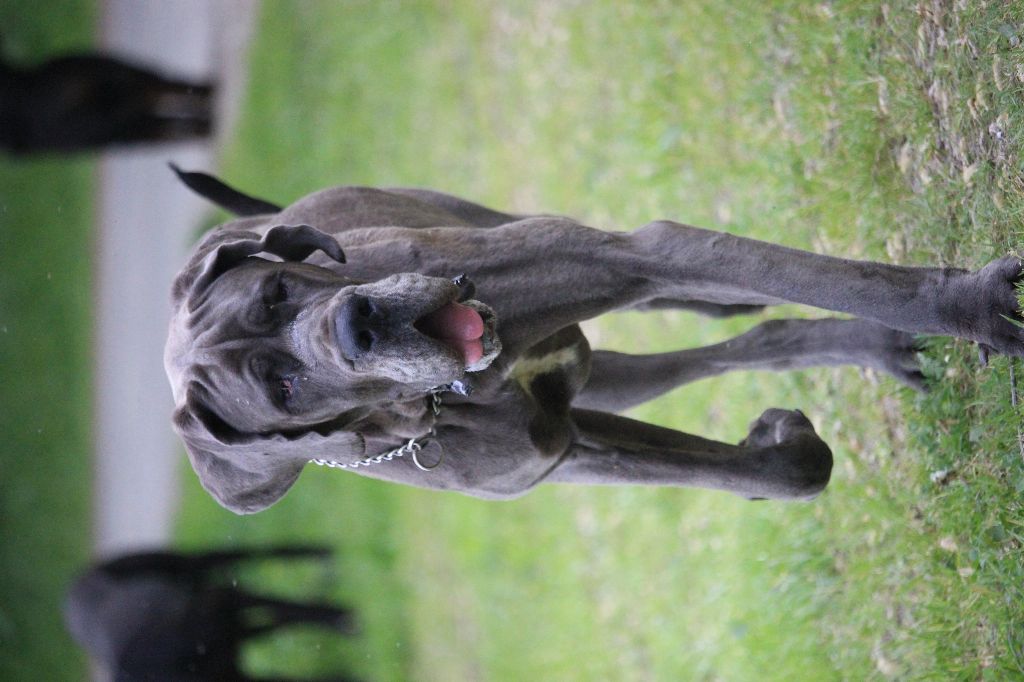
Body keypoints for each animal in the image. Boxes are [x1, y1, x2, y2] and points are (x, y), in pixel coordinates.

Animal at [65, 540, 360, 679]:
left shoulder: (227, 600)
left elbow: (291, 608)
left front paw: (345, 618)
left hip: (186, 563)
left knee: (253, 553)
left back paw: (324, 553)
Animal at [163, 166, 1019, 512]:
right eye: (282, 389)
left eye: (277, 291)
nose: (358, 324)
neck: (449, 395)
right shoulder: (564, 450)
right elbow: (778, 477)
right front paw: (781, 449)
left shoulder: (629, 255)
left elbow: (834, 278)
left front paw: (968, 305)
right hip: (603, 379)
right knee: (735, 339)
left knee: (728, 305)